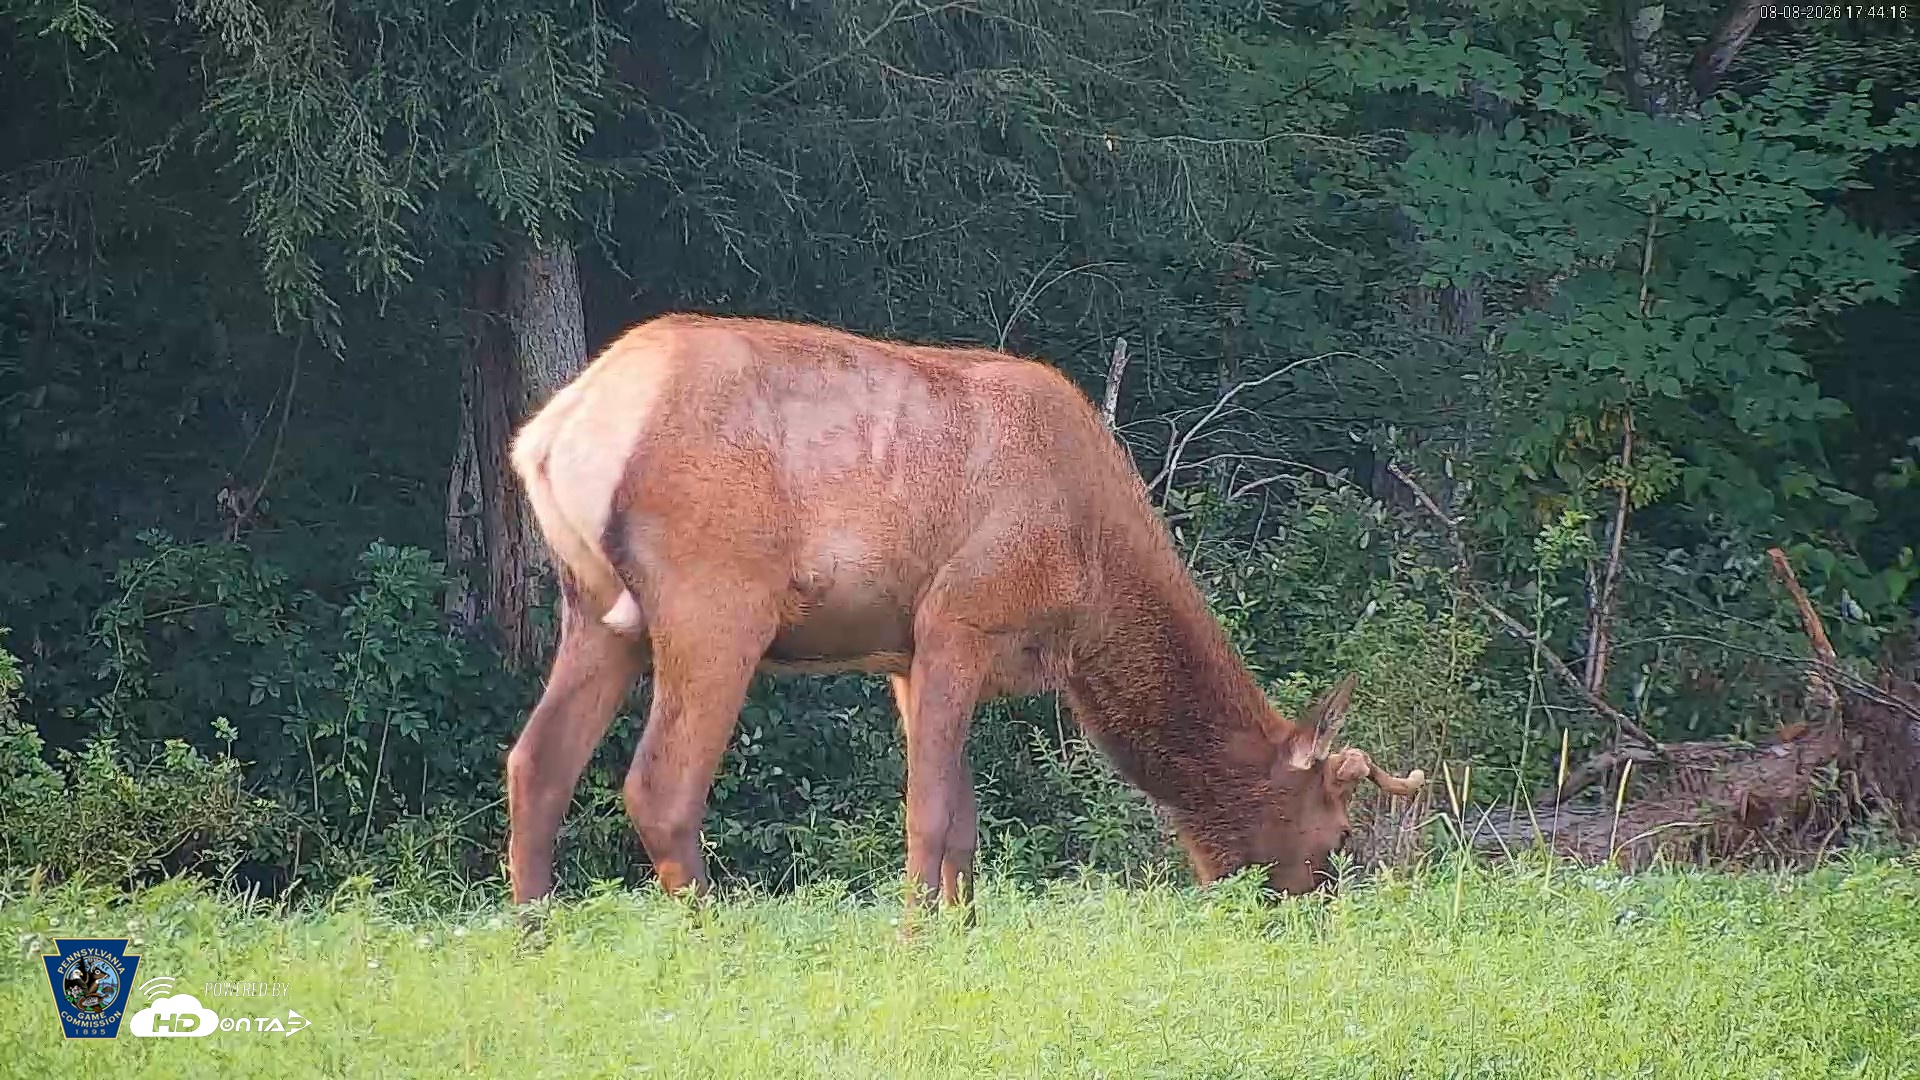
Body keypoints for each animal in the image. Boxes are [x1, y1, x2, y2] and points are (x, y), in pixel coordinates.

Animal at [504, 313, 1426, 913]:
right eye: (1339, 831)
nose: (1321, 908)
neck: (1089, 590)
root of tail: (552, 434)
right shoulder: (959, 620)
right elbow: (930, 812)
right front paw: (914, 941)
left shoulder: (906, 657)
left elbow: (964, 823)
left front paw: (962, 930)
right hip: (716, 600)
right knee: (660, 786)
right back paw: (714, 938)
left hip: (598, 611)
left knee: (536, 763)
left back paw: (532, 933)